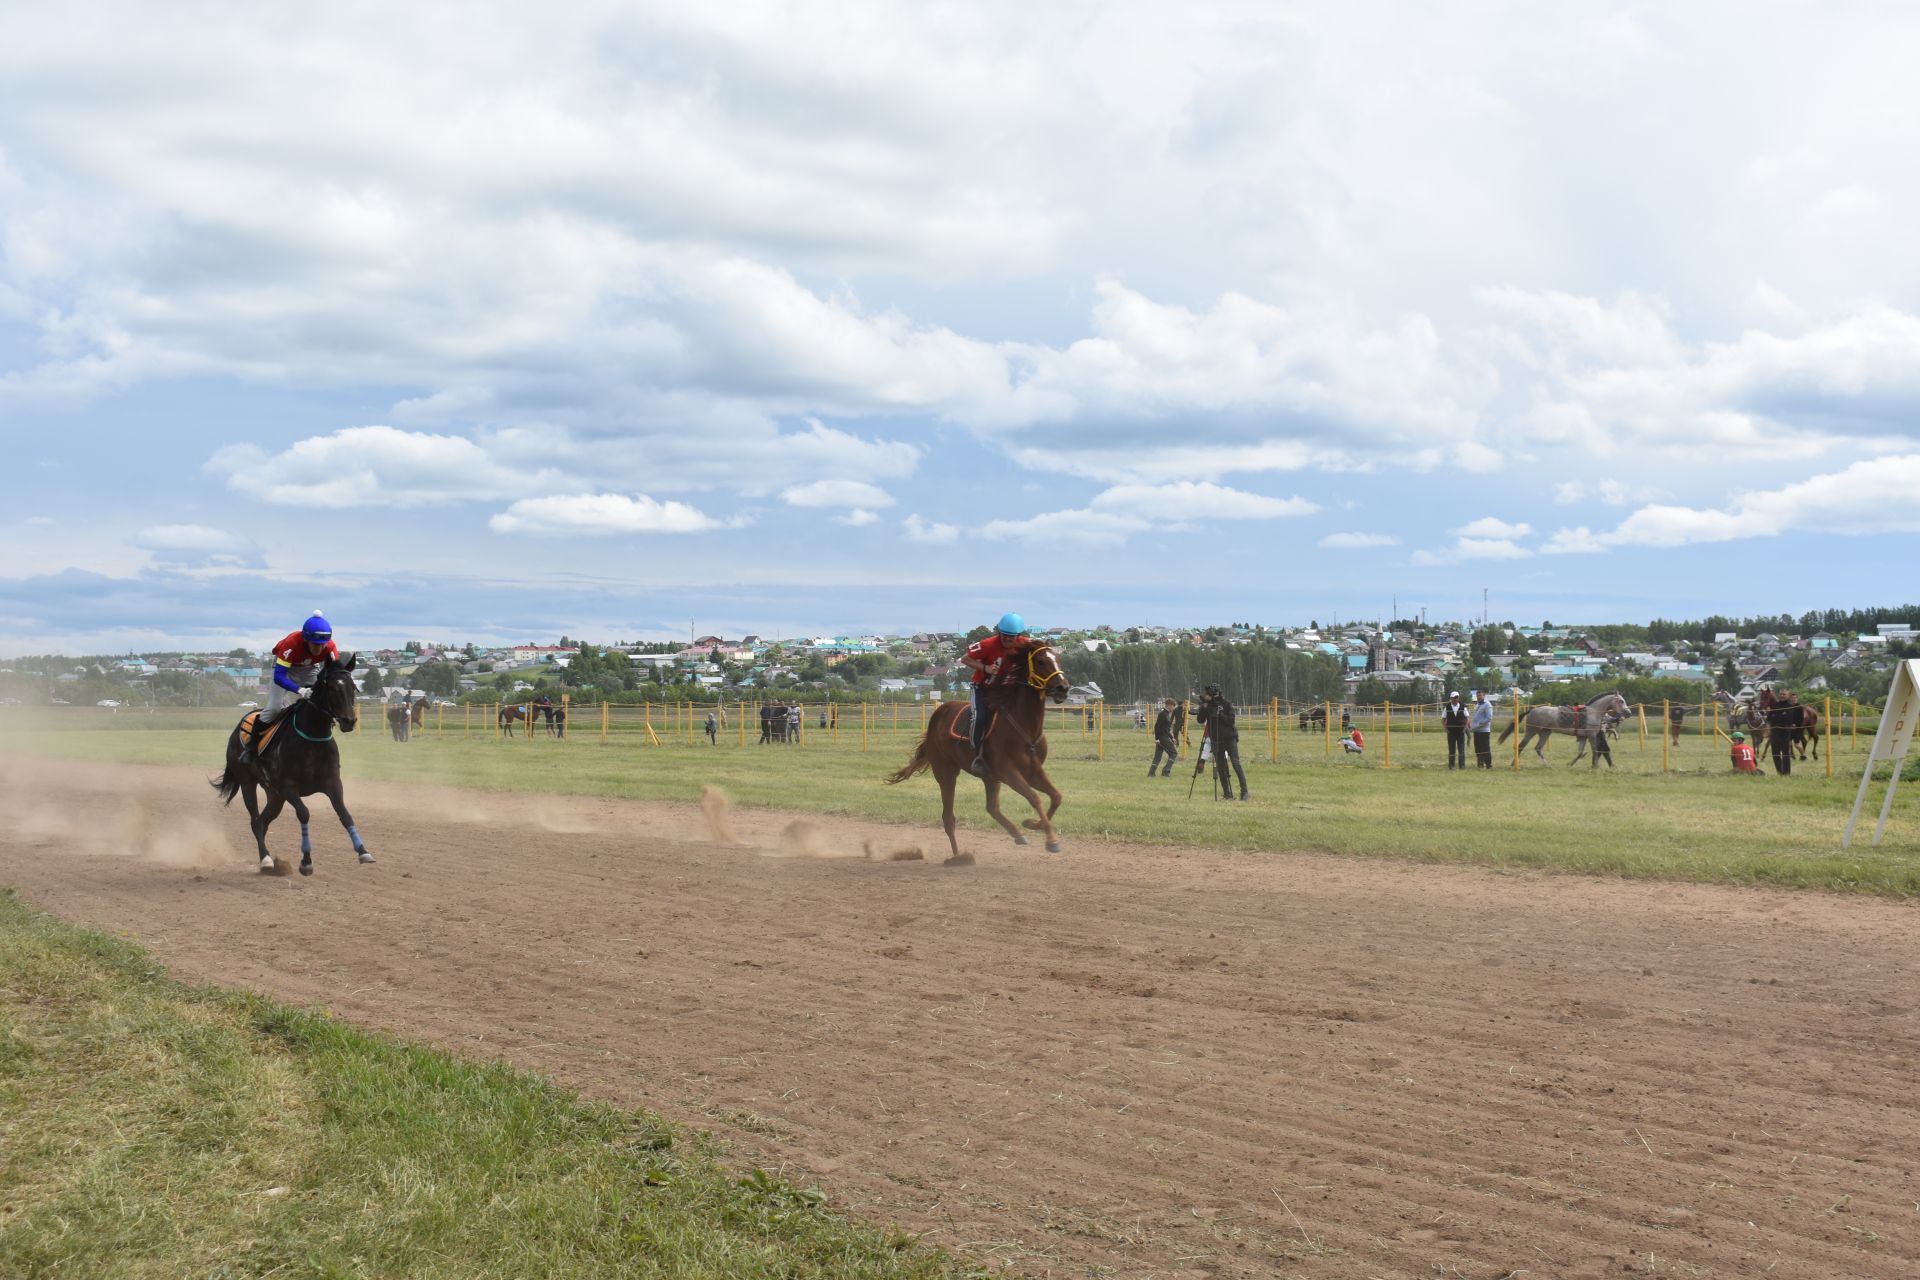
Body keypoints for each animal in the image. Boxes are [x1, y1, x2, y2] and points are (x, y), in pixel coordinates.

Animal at [887, 644, 1075, 867]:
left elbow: (1056, 797)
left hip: (989, 777)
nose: (1063, 688)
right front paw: (1051, 841)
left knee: (992, 807)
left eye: (1058, 659)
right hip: (946, 773)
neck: (1025, 727)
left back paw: (1017, 835)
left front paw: (1032, 824)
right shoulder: (1009, 772)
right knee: (948, 817)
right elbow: (1035, 798)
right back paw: (958, 856)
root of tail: (938, 715)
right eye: (1040, 661)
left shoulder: (1032, 772)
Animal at [1489, 694, 1628, 767]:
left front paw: (1570, 764)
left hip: (1545, 732)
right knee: (1520, 746)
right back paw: (1514, 764)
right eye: (1621, 701)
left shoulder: (1583, 737)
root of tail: (1532, 710)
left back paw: (1547, 765)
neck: (1593, 712)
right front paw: (1595, 767)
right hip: (1531, 731)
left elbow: (1580, 752)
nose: (1628, 712)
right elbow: (1595, 750)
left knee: (1538, 748)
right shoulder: (1592, 736)